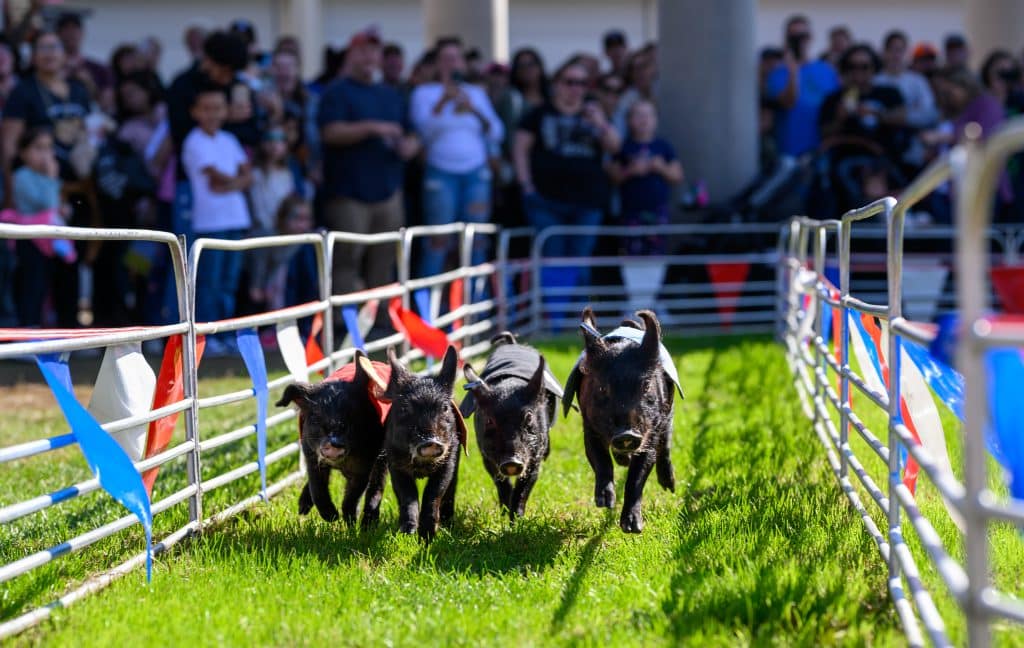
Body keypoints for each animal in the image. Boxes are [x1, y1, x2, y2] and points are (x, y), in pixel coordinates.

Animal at [276, 348, 387, 524]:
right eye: (316, 417)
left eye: (354, 415)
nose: (334, 443)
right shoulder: (310, 455)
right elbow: (317, 488)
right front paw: (331, 517)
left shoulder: (365, 463)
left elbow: (354, 494)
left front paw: (350, 521)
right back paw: (302, 509)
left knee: (377, 486)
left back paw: (368, 524)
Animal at [376, 346, 468, 536]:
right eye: (405, 409)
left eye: (444, 408)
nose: (430, 441)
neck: (422, 467)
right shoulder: (395, 462)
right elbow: (407, 495)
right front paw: (408, 531)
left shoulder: (449, 459)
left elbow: (435, 492)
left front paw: (428, 534)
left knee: (451, 489)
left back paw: (449, 523)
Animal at [460, 333, 565, 520]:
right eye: (490, 420)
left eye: (528, 417)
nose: (512, 461)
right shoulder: (485, 454)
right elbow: (501, 483)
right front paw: (504, 514)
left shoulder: (535, 455)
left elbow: (524, 488)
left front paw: (517, 520)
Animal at [565, 309, 684, 532]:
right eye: (602, 388)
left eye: (646, 386)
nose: (627, 433)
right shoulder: (589, 426)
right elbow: (600, 460)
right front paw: (605, 503)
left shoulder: (649, 433)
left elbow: (637, 476)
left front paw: (633, 528)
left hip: (668, 411)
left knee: (666, 444)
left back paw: (669, 486)